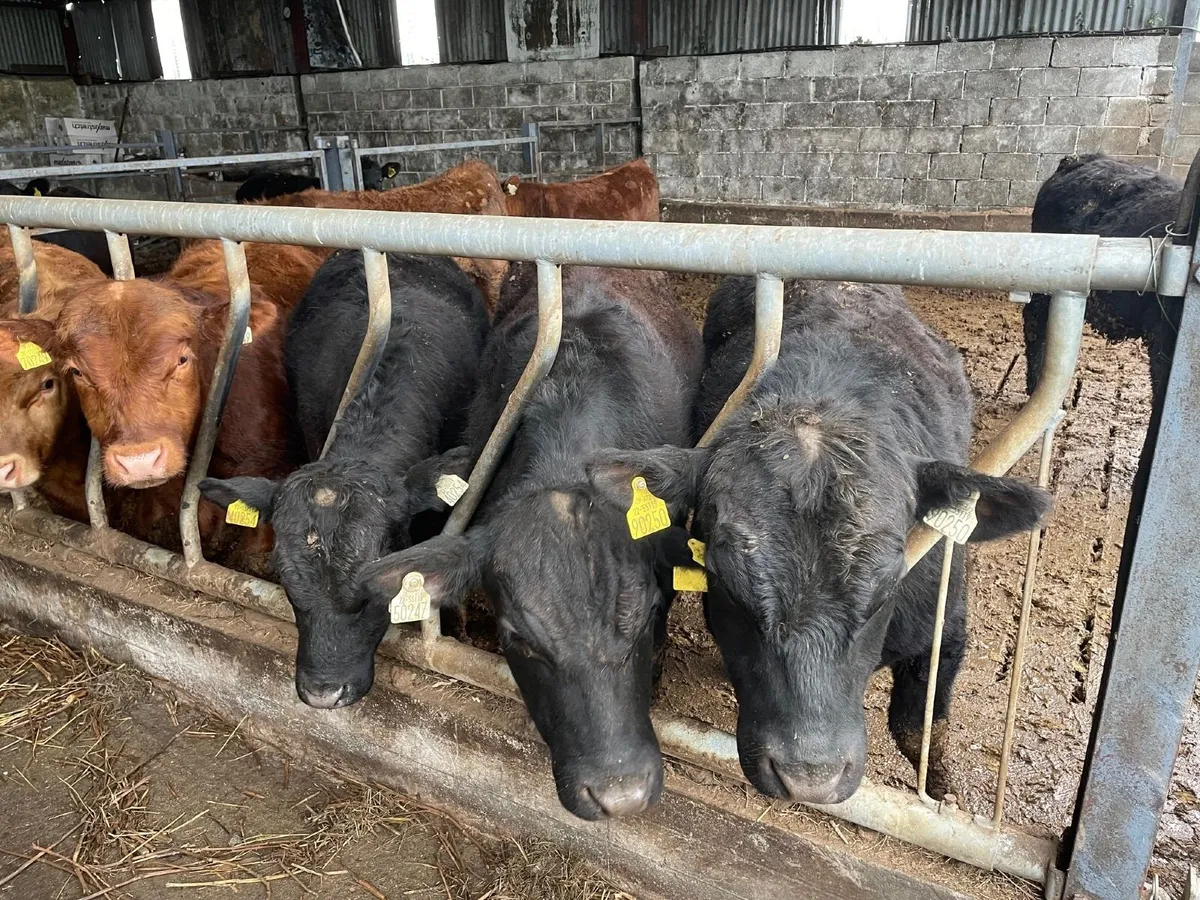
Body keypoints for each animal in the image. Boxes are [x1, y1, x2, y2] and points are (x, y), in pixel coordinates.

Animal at [586, 277, 1051, 806]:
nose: (810, 776)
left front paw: (941, 789)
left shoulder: (945, 627)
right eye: (724, 585)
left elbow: (920, 727)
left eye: (887, 587)